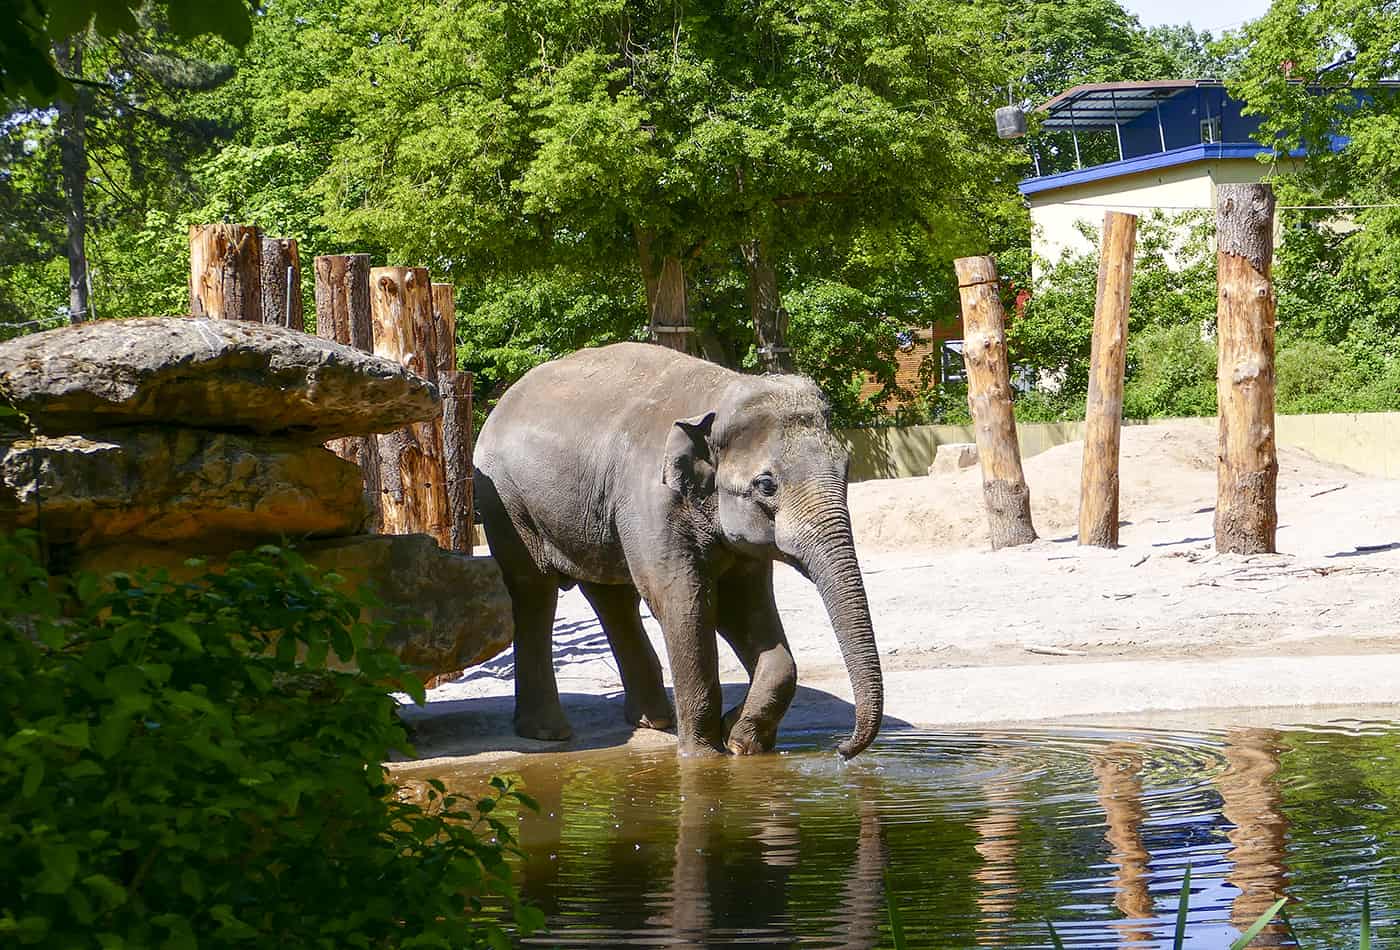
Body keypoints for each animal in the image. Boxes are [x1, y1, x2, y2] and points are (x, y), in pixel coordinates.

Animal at [476, 341, 879, 755]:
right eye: (766, 485)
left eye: (847, 468)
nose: (842, 749)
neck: (718, 396)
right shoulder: (650, 499)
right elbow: (683, 602)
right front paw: (703, 756)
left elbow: (743, 605)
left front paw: (739, 739)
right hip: (508, 505)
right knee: (533, 591)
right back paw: (549, 733)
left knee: (612, 598)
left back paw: (653, 720)